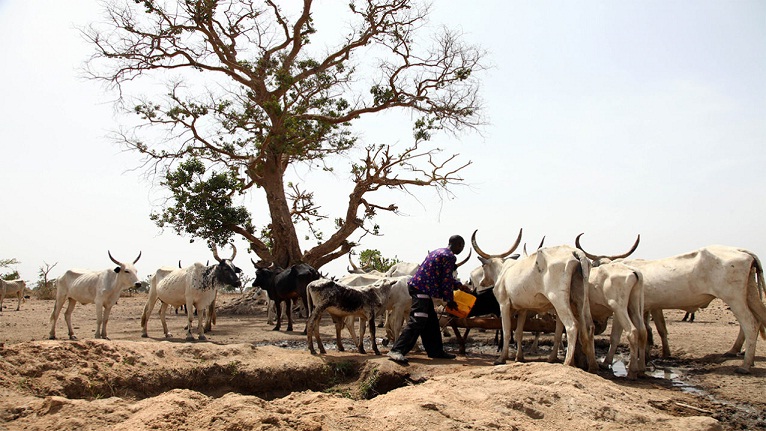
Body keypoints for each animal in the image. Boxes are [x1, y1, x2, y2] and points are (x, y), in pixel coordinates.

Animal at [474, 231, 600, 372]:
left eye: (483, 266)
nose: (481, 282)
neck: (503, 271)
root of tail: (575, 252)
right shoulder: (523, 309)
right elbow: (519, 333)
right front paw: (519, 357)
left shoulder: (504, 304)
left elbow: (506, 332)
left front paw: (501, 358)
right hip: (581, 299)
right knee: (588, 326)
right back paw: (592, 365)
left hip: (558, 299)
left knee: (572, 325)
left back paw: (567, 362)